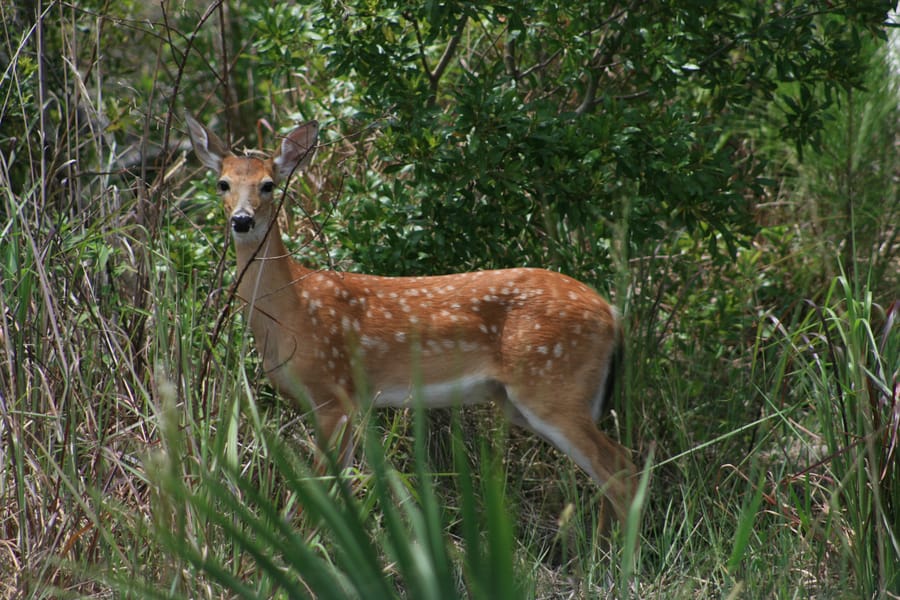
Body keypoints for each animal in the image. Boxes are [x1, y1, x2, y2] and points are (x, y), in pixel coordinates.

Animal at [186, 112, 636, 520]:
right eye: (222, 184)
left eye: (268, 184)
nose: (242, 220)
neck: (292, 310)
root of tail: (611, 312)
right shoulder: (334, 402)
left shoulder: (335, 392)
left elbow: (318, 494)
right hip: (521, 400)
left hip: (552, 385)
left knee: (621, 470)